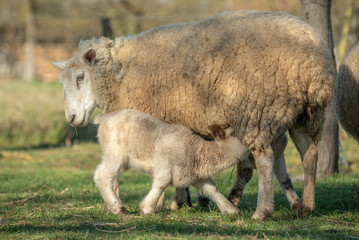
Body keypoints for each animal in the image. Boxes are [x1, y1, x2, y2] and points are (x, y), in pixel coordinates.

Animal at [52, 10, 336, 219]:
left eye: (80, 77)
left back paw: (262, 211)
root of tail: (312, 62)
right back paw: (305, 207)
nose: (72, 119)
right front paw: (180, 201)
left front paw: (160, 204)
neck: (119, 73)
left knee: (264, 159)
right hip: (306, 115)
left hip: (257, 112)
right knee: (309, 154)